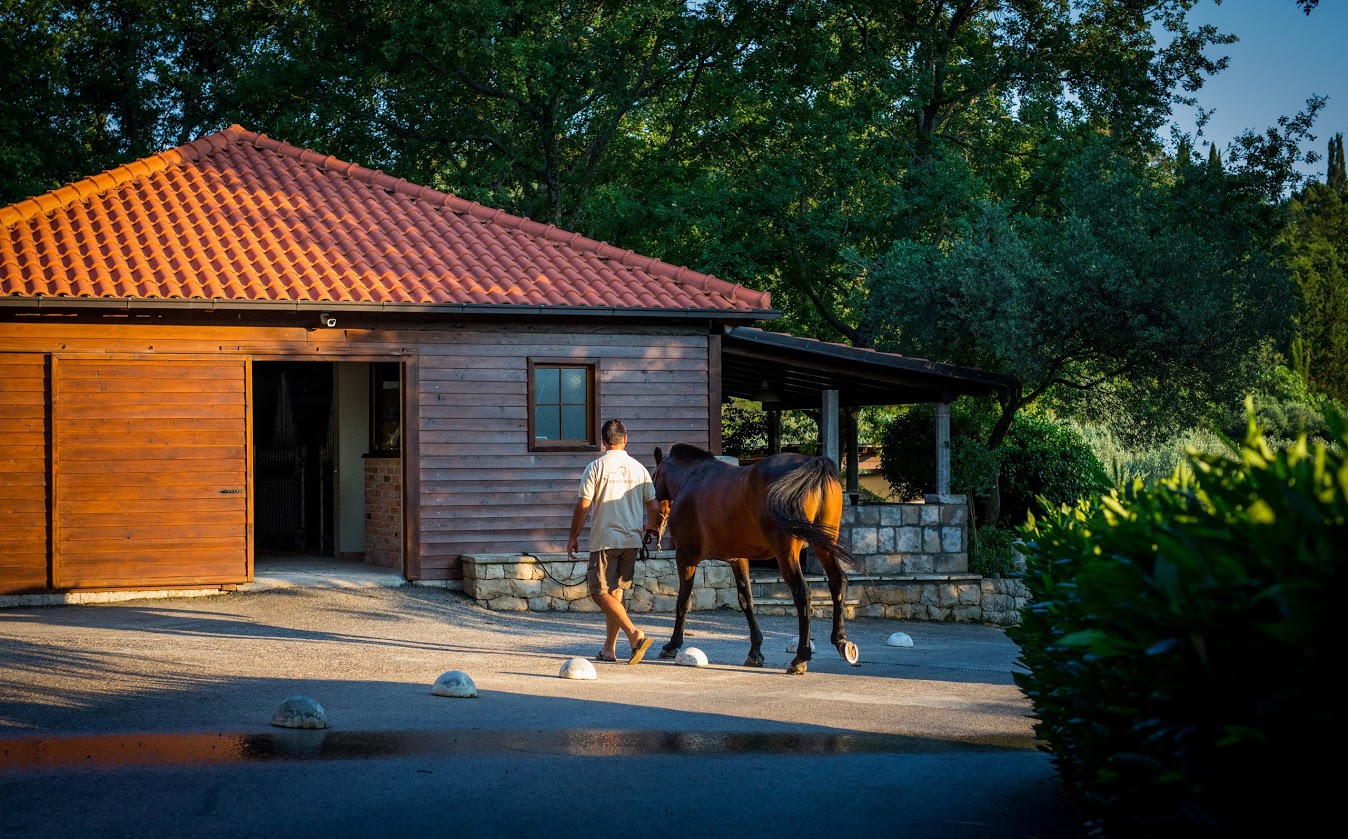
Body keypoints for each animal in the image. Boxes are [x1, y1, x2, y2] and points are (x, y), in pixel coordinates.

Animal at [650, 443, 859, 675]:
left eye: (653, 477)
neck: (691, 478)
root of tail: (814, 464)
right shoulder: (738, 559)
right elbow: (746, 600)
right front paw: (755, 651)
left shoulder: (685, 558)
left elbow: (683, 602)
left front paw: (672, 645)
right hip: (824, 545)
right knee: (838, 581)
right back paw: (841, 641)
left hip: (787, 554)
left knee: (803, 594)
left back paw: (800, 657)